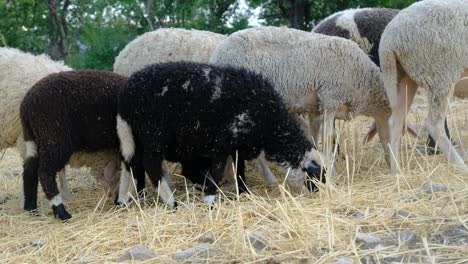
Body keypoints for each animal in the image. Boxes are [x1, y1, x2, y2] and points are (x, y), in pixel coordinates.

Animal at [0, 48, 120, 199]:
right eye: (117, 175)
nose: (113, 195)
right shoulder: (28, 138)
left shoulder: (59, 138)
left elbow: (61, 168)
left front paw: (66, 193)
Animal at [116, 62, 326, 206]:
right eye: (315, 176)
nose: (320, 194)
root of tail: (126, 95)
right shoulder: (221, 143)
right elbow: (217, 172)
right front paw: (209, 200)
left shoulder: (237, 146)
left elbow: (239, 170)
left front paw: (243, 193)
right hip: (154, 134)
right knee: (150, 164)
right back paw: (170, 202)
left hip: (134, 135)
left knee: (131, 163)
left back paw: (124, 199)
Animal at [210, 25, 404, 172]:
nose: (394, 165)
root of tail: (216, 55)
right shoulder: (330, 99)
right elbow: (328, 137)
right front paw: (330, 171)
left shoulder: (316, 107)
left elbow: (314, 134)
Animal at [380, 0, 468, 175]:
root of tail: (389, 39)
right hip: (441, 74)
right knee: (433, 123)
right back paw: (461, 167)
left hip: (404, 77)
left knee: (395, 121)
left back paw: (396, 172)